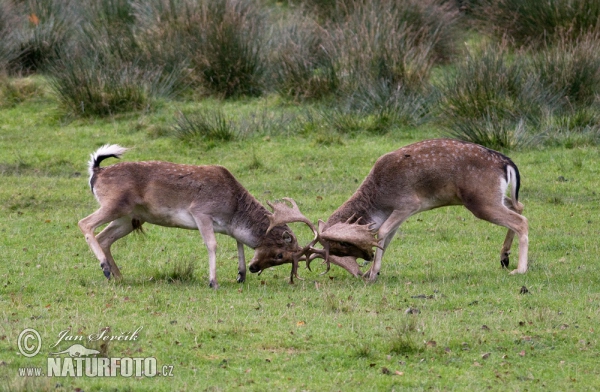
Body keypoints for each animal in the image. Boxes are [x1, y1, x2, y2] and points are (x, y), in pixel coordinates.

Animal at [78, 144, 318, 288]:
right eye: (280, 254)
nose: (254, 268)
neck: (233, 209)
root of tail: (95, 172)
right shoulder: (201, 211)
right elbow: (212, 244)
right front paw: (214, 282)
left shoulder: (226, 227)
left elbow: (238, 241)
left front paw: (240, 275)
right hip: (114, 205)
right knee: (84, 223)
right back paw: (105, 268)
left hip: (130, 218)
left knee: (104, 237)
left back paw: (118, 276)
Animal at [248, 139, 528, 284]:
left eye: (341, 248)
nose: (367, 258)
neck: (380, 194)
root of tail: (507, 163)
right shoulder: (401, 212)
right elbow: (388, 236)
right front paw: (374, 270)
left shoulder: (408, 203)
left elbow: (381, 232)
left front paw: (372, 273)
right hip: (496, 197)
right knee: (519, 206)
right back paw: (504, 257)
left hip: (480, 201)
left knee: (521, 220)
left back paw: (519, 269)